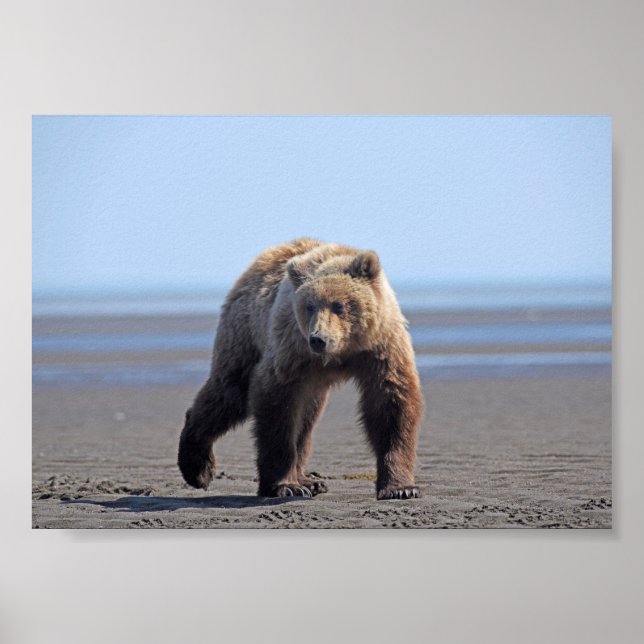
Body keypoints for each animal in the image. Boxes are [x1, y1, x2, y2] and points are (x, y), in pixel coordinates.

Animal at [177, 238, 424, 499]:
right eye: (310, 306)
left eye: (339, 305)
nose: (318, 339)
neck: (343, 352)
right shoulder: (292, 350)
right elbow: (278, 407)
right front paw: (285, 485)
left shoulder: (381, 346)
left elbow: (391, 405)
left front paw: (400, 488)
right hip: (245, 334)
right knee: (229, 393)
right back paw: (198, 469)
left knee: (306, 418)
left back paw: (311, 481)